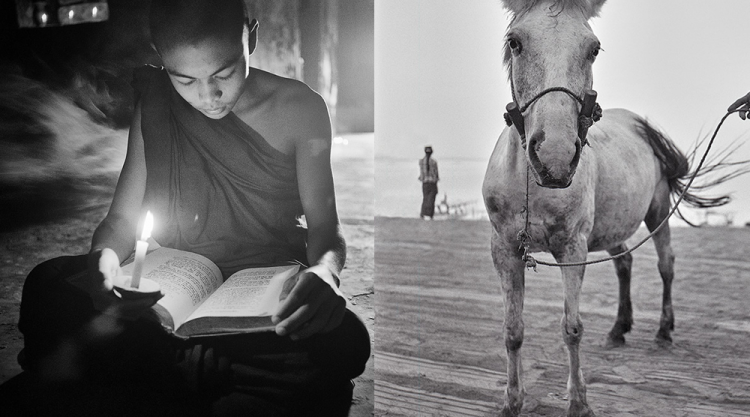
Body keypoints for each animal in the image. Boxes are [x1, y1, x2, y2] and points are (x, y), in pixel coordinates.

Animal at [482, 1, 736, 414]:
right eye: (515, 42)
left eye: (594, 49)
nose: (554, 157)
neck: (532, 186)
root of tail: (638, 123)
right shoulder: (504, 249)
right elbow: (512, 330)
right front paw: (512, 402)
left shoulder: (573, 248)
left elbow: (571, 328)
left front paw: (579, 402)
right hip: (613, 225)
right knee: (624, 264)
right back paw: (619, 328)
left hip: (657, 210)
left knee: (666, 264)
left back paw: (663, 331)